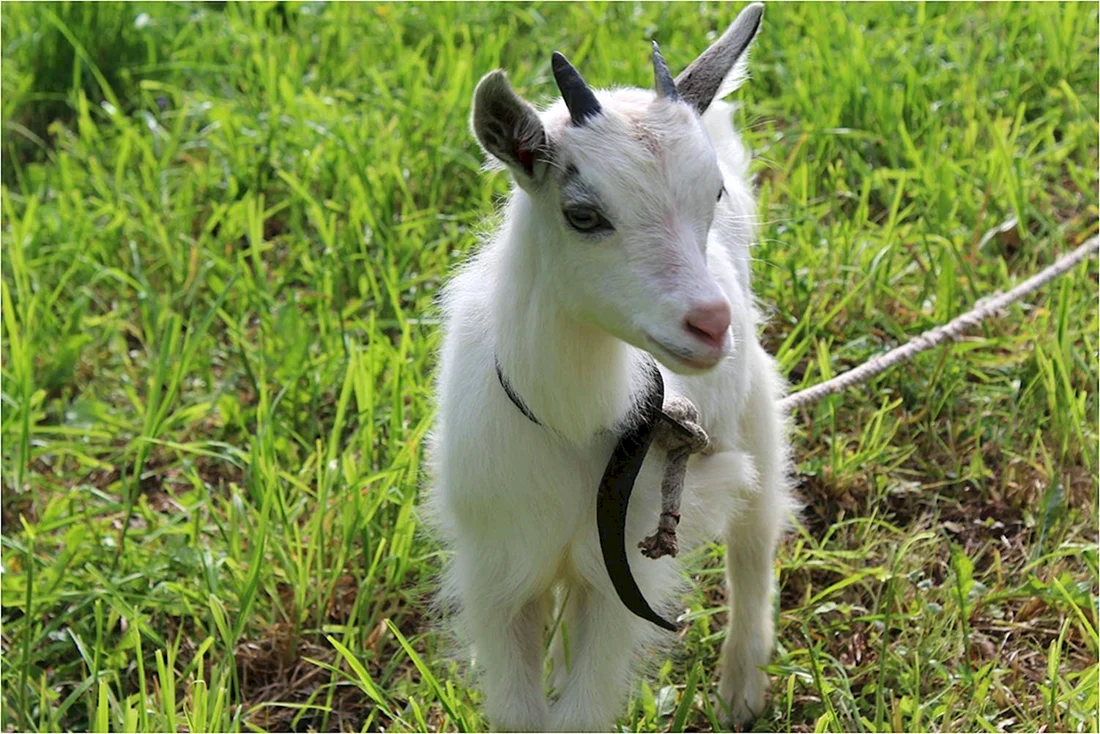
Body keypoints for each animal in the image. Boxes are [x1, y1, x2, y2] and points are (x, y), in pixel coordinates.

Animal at [424, 4, 795, 730]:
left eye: (713, 195)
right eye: (583, 214)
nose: (711, 323)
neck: (571, 427)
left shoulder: (621, 576)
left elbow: (581, 713)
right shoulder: (498, 572)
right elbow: (522, 713)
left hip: (754, 419)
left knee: (756, 534)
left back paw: (741, 689)